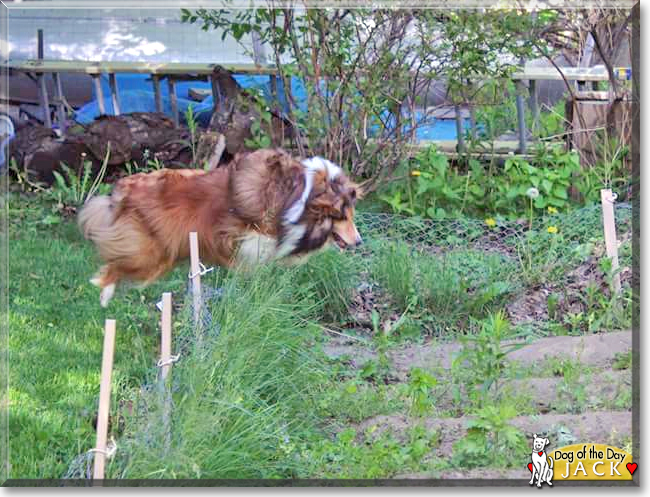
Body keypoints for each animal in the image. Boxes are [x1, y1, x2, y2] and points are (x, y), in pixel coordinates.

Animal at [78, 146, 362, 306]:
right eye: (343, 217)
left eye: (351, 215)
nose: (359, 242)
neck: (302, 198)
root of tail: (125, 188)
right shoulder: (251, 232)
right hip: (151, 254)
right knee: (114, 266)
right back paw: (103, 295)